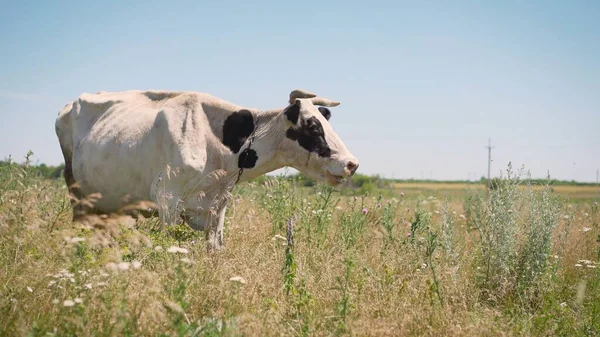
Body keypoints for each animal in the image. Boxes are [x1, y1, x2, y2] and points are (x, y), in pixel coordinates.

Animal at [55, 88, 356, 251]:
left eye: (324, 122)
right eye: (313, 126)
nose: (352, 164)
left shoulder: (218, 205)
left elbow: (214, 248)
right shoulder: (167, 199)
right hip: (77, 195)